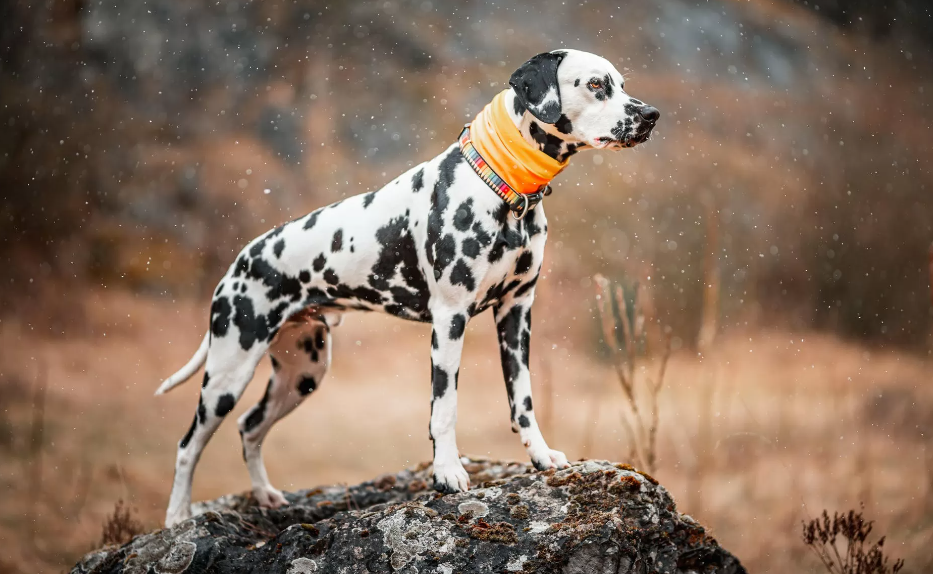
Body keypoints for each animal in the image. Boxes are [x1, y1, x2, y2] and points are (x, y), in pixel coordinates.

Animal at [157, 47, 656, 528]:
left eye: (622, 84)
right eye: (596, 85)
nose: (651, 114)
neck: (502, 184)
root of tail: (239, 262)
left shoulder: (517, 313)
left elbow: (523, 400)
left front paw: (539, 456)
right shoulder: (450, 321)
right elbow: (444, 409)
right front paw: (448, 474)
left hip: (301, 374)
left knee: (250, 427)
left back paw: (264, 496)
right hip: (229, 370)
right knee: (187, 444)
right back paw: (178, 516)